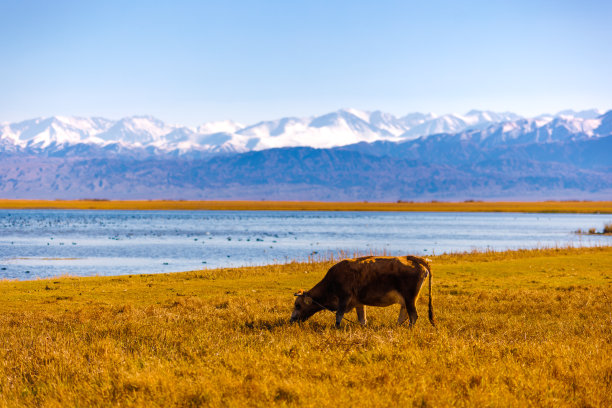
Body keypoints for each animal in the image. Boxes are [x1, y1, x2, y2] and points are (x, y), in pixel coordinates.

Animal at [290, 255, 432, 328]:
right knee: (404, 314)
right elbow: (362, 319)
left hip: (410, 298)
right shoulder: (358, 302)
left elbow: (339, 315)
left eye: (298, 305)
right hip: (407, 300)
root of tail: (415, 259)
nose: (291, 320)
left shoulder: (344, 298)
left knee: (413, 315)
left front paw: (337, 328)